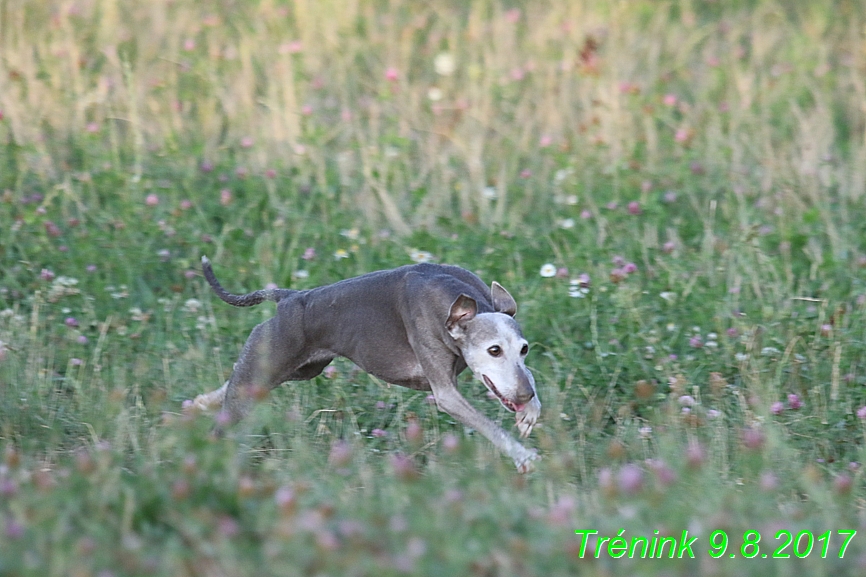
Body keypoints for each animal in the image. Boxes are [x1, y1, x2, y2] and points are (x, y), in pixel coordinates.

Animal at [189, 258, 540, 472]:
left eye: (524, 349)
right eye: (494, 350)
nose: (522, 396)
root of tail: (289, 297)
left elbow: (531, 378)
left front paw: (530, 413)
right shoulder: (446, 393)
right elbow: (488, 425)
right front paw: (524, 456)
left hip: (299, 369)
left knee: (234, 382)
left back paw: (200, 402)